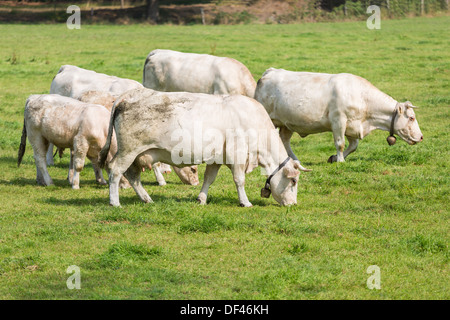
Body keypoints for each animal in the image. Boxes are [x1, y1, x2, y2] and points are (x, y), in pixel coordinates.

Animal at [98, 87, 310, 208]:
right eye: (293, 181)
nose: (293, 204)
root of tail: (127, 96)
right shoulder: (238, 155)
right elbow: (239, 180)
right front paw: (245, 202)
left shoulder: (216, 158)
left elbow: (209, 179)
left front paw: (201, 199)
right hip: (128, 151)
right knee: (115, 171)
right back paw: (114, 202)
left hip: (137, 155)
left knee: (133, 176)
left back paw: (146, 199)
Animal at [255, 67, 424, 162]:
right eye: (411, 117)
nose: (421, 137)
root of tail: (270, 72)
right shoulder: (338, 121)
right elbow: (340, 143)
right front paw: (340, 160)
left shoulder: (352, 126)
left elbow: (353, 146)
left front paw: (334, 157)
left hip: (286, 124)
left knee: (284, 140)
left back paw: (294, 159)